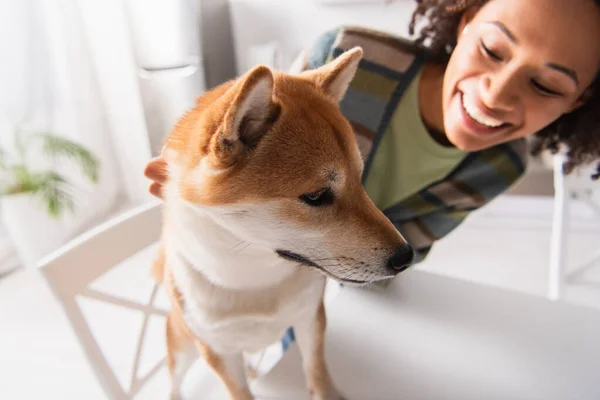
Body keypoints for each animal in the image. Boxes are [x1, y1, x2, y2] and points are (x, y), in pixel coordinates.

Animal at [144, 47, 414, 400]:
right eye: (316, 196)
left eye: (359, 178)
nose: (406, 256)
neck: (254, 277)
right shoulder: (218, 351)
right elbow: (240, 393)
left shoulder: (310, 318)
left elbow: (317, 368)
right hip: (182, 347)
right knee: (175, 381)